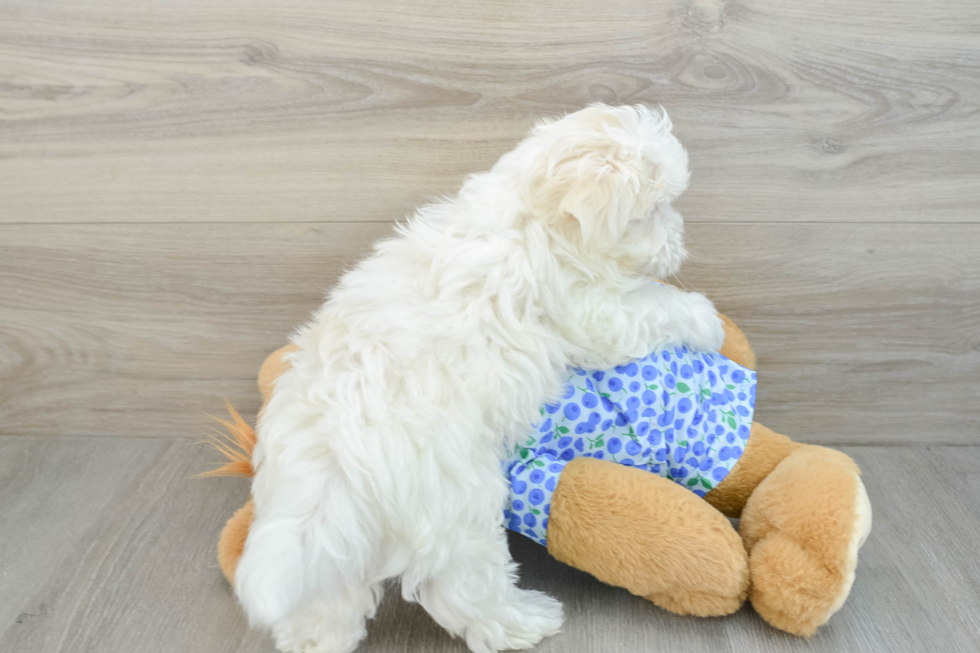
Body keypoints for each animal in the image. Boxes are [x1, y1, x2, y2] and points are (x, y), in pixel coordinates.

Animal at [235, 104, 728, 648]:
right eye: (652, 211)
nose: (680, 242)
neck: (535, 217)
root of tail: (340, 451)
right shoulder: (588, 310)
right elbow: (652, 307)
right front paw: (706, 319)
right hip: (456, 504)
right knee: (463, 587)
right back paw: (524, 621)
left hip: (327, 527)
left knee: (329, 595)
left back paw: (312, 639)